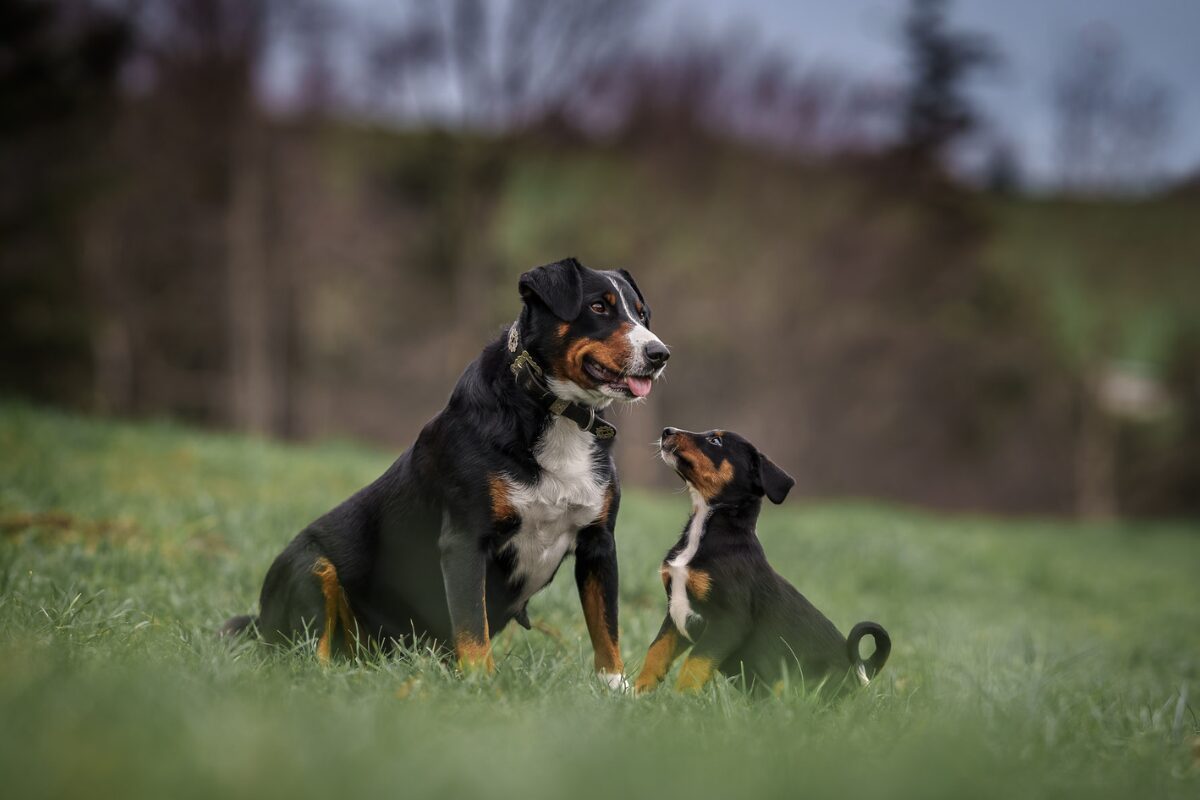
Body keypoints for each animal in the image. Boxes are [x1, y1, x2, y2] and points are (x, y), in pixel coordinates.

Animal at [223, 260, 667, 686]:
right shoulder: (466, 540)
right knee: (308, 651)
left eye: (642, 314)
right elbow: (472, 625)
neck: (555, 416)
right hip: (311, 566)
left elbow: (605, 628)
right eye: (598, 307)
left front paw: (614, 687)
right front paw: (480, 684)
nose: (659, 353)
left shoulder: (598, 542)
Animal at [633, 424, 888, 695]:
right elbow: (656, 652)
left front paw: (680, 700)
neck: (706, 527)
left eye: (715, 441)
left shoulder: (728, 621)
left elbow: (693, 665)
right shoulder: (675, 614)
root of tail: (859, 674)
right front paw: (636, 694)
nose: (667, 430)